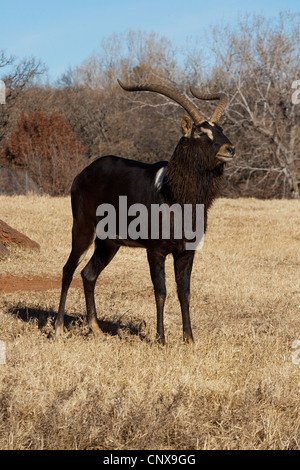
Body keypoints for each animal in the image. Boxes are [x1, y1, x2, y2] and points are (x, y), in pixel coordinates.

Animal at [55, 80, 236, 346]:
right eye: (201, 133)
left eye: (221, 129)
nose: (230, 149)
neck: (173, 194)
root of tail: (83, 174)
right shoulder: (156, 251)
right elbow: (161, 291)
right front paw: (160, 339)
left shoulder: (186, 252)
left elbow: (184, 292)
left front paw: (189, 339)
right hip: (83, 229)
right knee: (68, 269)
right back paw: (58, 328)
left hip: (108, 243)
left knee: (88, 274)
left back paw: (97, 330)